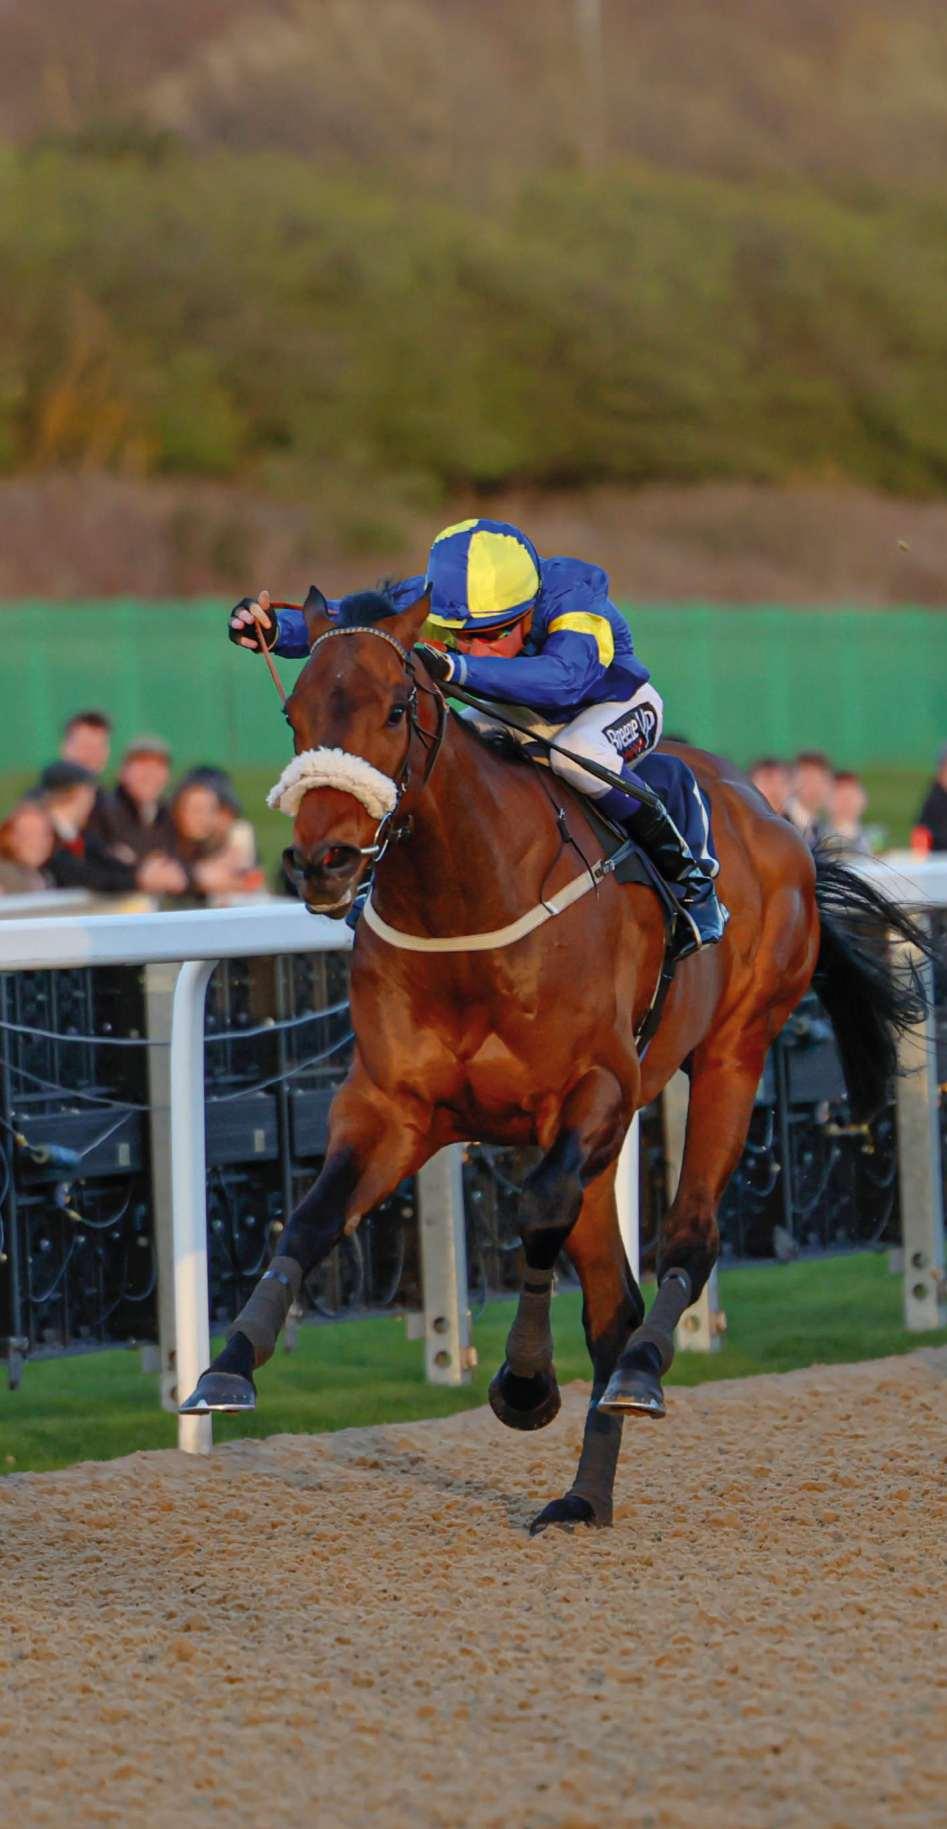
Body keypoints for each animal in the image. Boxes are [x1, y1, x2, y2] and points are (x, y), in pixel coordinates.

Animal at [182, 588, 929, 1533]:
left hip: (732, 1053)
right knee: (613, 1304)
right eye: (295, 714)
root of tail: (773, 816)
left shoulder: (594, 1090)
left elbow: (537, 1207)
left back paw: (639, 1374)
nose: (324, 862)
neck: (469, 903)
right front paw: (226, 1366)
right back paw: (584, 1494)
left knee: (687, 1240)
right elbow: (311, 1220)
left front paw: (525, 1382)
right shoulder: (391, 1106)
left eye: (393, 709)